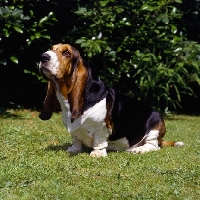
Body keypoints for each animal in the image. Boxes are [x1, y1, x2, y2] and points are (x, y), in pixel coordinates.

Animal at [38, 43, 184, 157]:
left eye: (66, 52)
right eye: (52, 48)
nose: (43, 56)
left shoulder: (102, 128)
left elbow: (99, 141)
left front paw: (97, 153)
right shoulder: (75, 132)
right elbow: (76, 140)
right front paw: (74, 149)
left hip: (155, 127)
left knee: (154, 146)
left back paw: (139, 149)